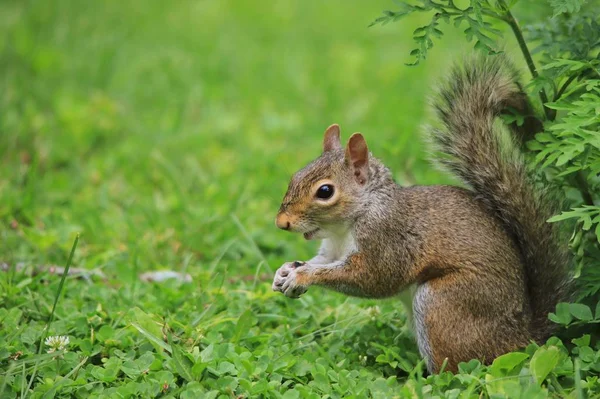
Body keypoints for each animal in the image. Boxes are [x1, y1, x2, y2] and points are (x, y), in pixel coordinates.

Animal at [272, 54, 572, 374]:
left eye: (325, 191)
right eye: (295, 176)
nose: (281, 222)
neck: (350, 222)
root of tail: (524, 337)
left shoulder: (388, 241)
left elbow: (372, 278)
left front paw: (302, 276)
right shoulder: (331, 250)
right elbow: (322, 261)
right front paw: (285, 271)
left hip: (443, 304)